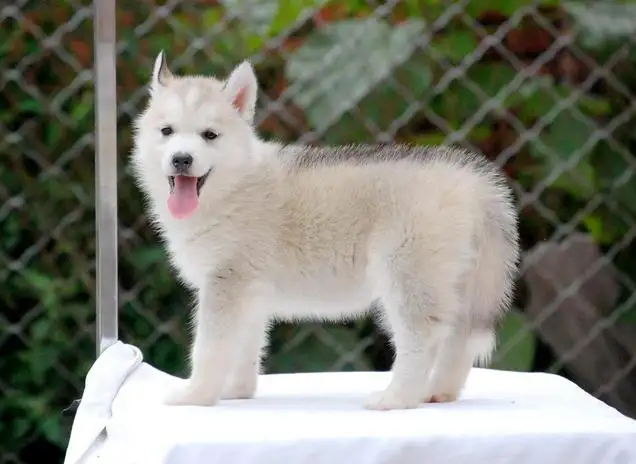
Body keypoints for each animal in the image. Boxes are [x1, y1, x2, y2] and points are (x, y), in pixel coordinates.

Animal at [129, 51, 516, 410]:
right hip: (457, 285)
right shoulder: (248, 293)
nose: (181, 159)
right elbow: (244, 348)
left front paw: (196, 394)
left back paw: (397, 398)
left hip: (408, 279)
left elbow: (209, 347)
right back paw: (437, 392)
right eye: (167, 131)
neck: (232, 188)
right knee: (456, 340)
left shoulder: (225, 284)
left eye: (210, 135)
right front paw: (235, 392)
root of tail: (473, 179)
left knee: (423, 339)